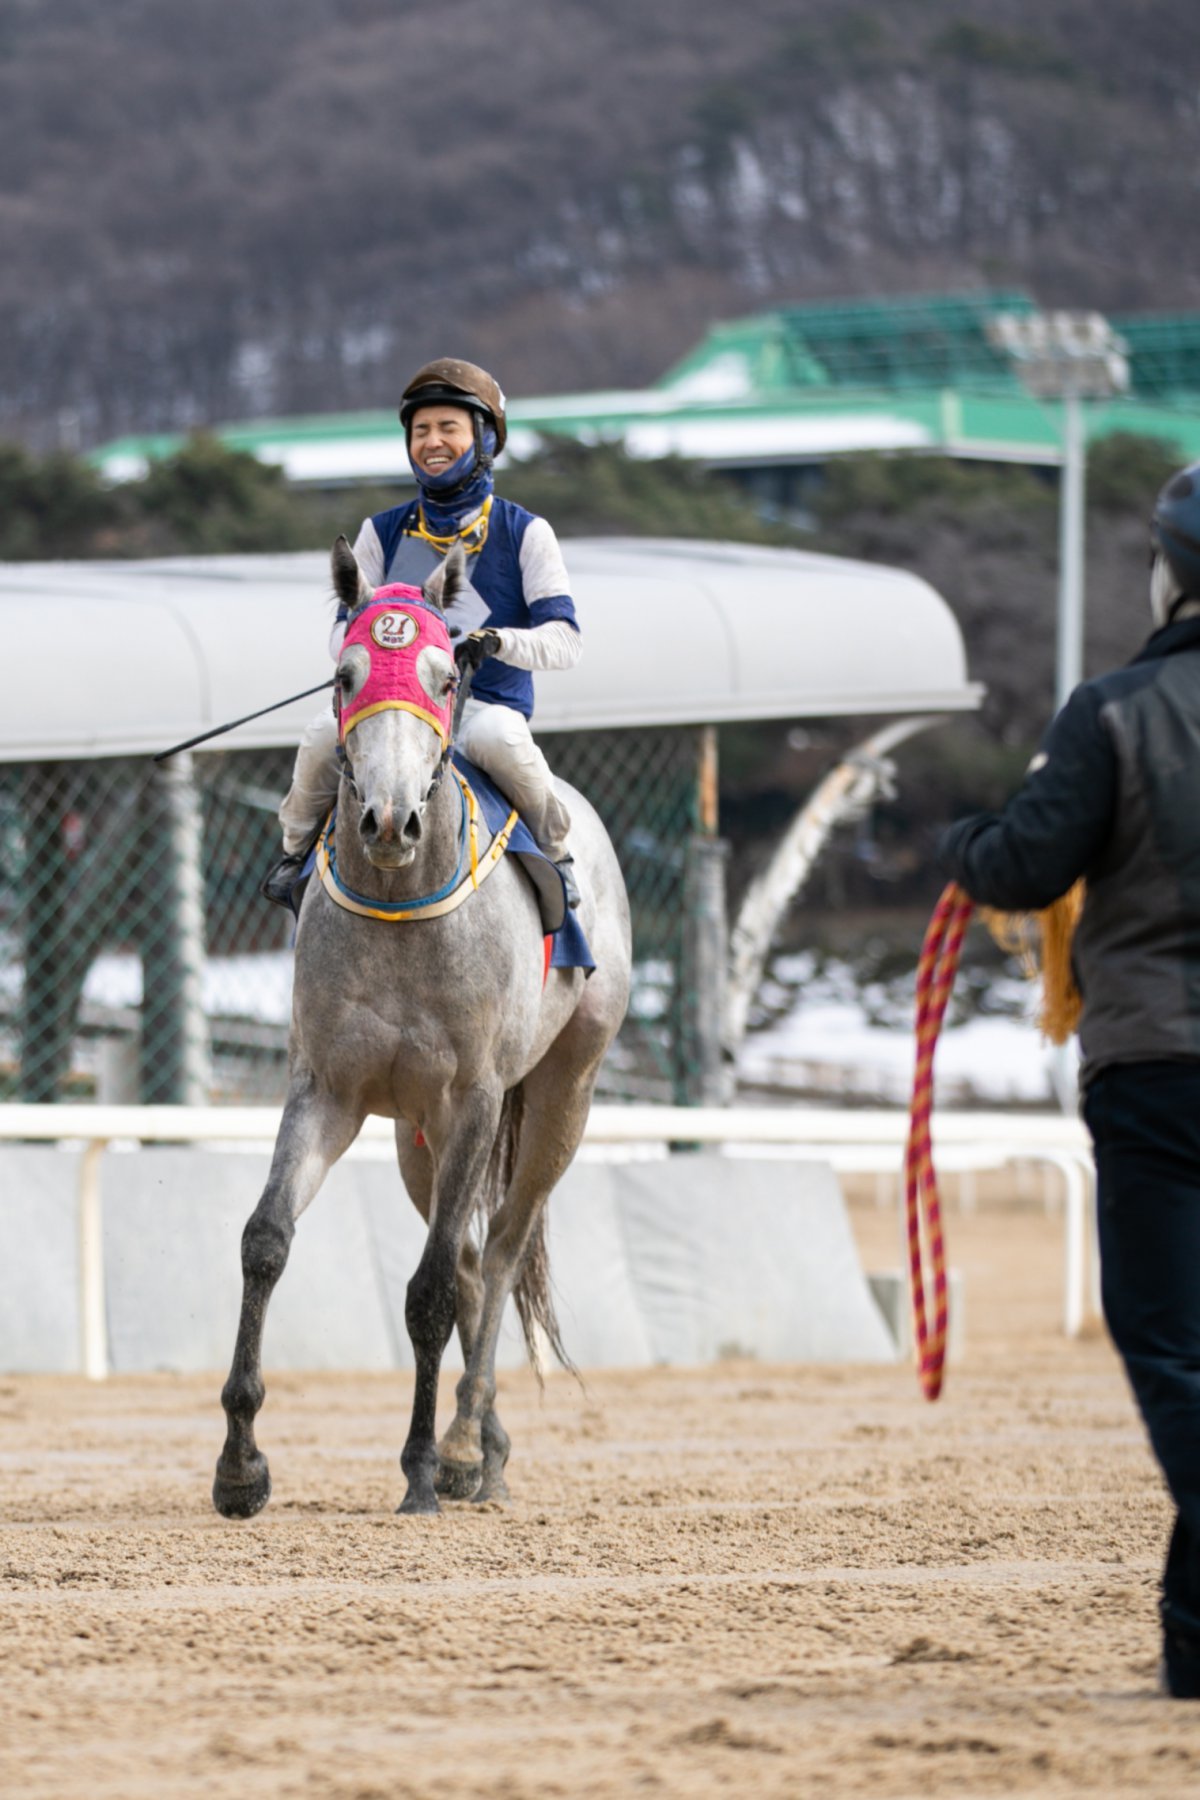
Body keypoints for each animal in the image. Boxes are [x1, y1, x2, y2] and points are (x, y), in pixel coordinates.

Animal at [212, 536, 633, 1519]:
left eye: (445, 677)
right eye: (346, 675)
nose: (390, 819)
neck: (401, 904)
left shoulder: (475, 1097)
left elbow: (433, 1288)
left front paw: (417, 1471)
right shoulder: (326, 1089)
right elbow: (265, 1242)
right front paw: (240, 1466)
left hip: (562, 1093)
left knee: (504, 1247)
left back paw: (466, 1440)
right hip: (417, 1136)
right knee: (479, 1258)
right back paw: (482, 1449)